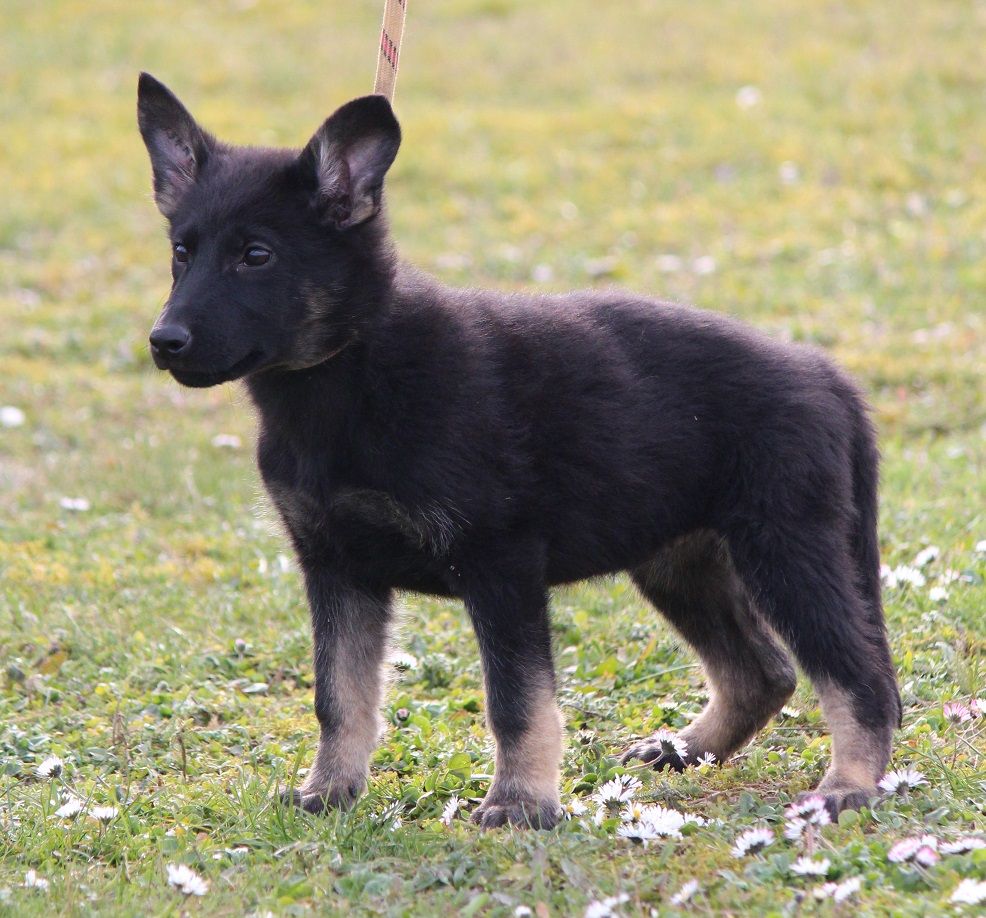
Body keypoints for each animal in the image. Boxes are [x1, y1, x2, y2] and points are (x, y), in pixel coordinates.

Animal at [137, 73, 900, 828]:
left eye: (255, 256)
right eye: (181, 252)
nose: (163, 342)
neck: (356, 367)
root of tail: (825, 374)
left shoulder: (499, 563)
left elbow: (517, 700)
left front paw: (521, 802)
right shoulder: (337, 567)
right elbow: (339, 696)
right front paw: (330, 792)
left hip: (785, 549)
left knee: (855, 675)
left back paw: (848, 786)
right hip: (680, 560)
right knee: (763, 672)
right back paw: (688, 749)